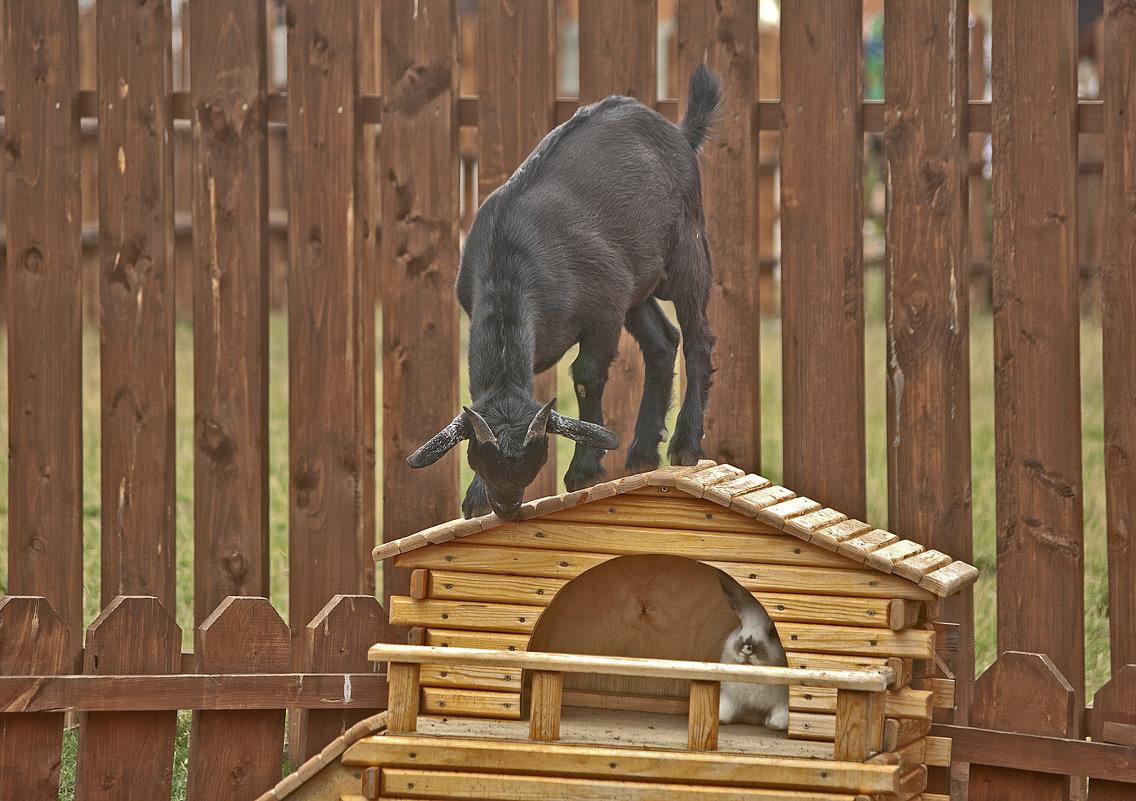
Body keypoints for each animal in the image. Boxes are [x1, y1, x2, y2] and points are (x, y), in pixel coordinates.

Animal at [411, 64, 717, 518]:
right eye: (479, 460)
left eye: (536, 458)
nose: (506, 506)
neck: (510, 256)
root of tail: (678, 132)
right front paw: (476, 499)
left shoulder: (604, 309)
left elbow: (587, 376)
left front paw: (584, 471)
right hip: (635, 285)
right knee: (663, 341)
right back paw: (643, 452)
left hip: (686, 252)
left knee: (698, 338)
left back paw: (684, 444)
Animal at [717, 568, 790, 731]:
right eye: (741, 625)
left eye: (773, 632)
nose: (747, 648)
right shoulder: (730, 696)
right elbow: (726, 707)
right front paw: (719, 718)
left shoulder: (784, 701)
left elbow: (781, 712)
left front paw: (775, 724)